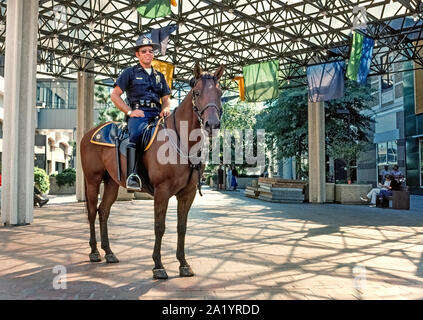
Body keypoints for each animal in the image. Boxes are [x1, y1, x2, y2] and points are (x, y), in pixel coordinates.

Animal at [80, 63, 225, 278]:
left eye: (220, 93)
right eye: (197, 93)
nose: (212, 124)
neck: (182, 141)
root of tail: (90, 132)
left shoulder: (187, 193)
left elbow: (182, 227)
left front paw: (183, 263)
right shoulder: (161, 191)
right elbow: (159, 227)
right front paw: (158, 265)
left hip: (112, 183)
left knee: (103, 211)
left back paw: (109, 252)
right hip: (92, 180)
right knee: (91, 212)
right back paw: (94, 252)